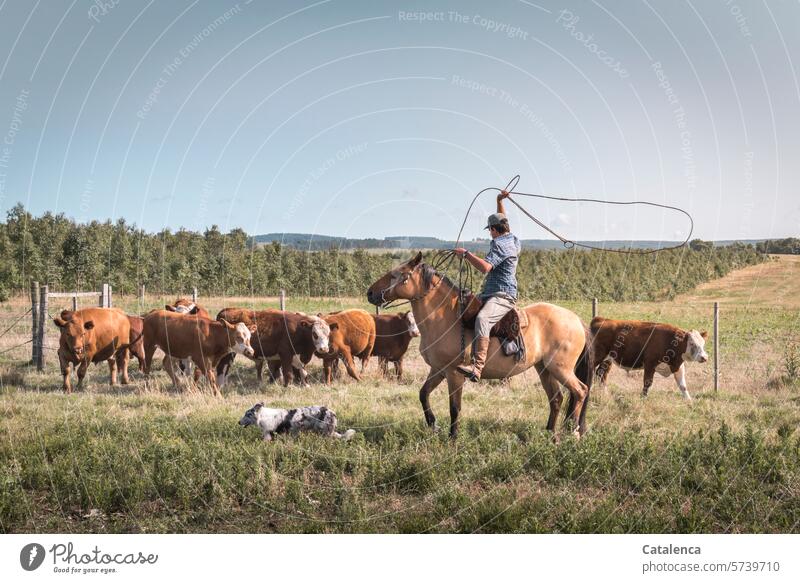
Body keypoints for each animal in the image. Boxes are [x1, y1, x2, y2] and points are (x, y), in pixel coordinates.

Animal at [366, 253, 592, 440]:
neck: (446, 318)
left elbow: (455, 407)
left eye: (396, 275)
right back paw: (550, 435)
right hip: (544, 368)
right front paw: (433, 425)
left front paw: (453, 438)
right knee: (557, 399)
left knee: (580, 391)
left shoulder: (454, 373)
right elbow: (423, 394)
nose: (370, 292)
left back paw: (573, 431)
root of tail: (576, 320)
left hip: (560, 368)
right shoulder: (438, 370)